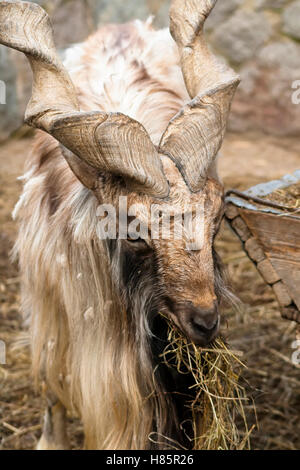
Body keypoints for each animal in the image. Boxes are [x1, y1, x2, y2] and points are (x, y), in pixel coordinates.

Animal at [0, 0, 239, 448]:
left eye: (217, 217)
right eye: (134, 231)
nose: (205, 321)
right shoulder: (50, 302)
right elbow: (53, 379)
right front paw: (50, 440)